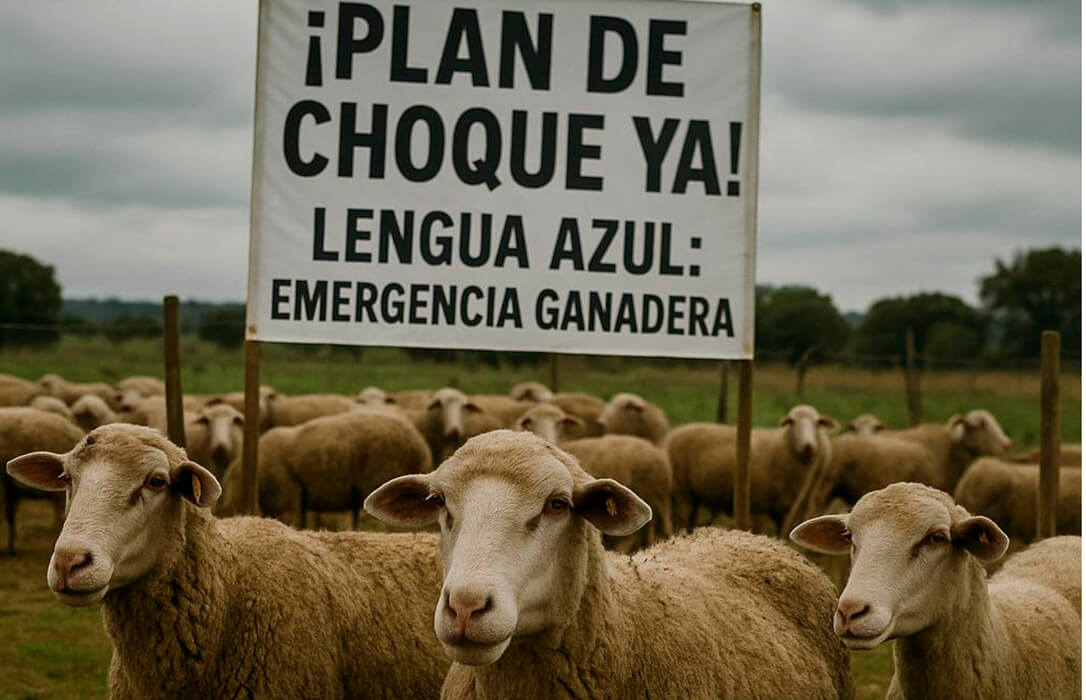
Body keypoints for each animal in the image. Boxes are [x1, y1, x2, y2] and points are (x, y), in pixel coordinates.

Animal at [667, 405, 837, 534]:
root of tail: (674, 433)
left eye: (818, 423)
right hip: (682, 489)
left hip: (692, 494)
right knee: (684, 515)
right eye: (791, 421)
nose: (808, 445)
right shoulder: (765, 506)